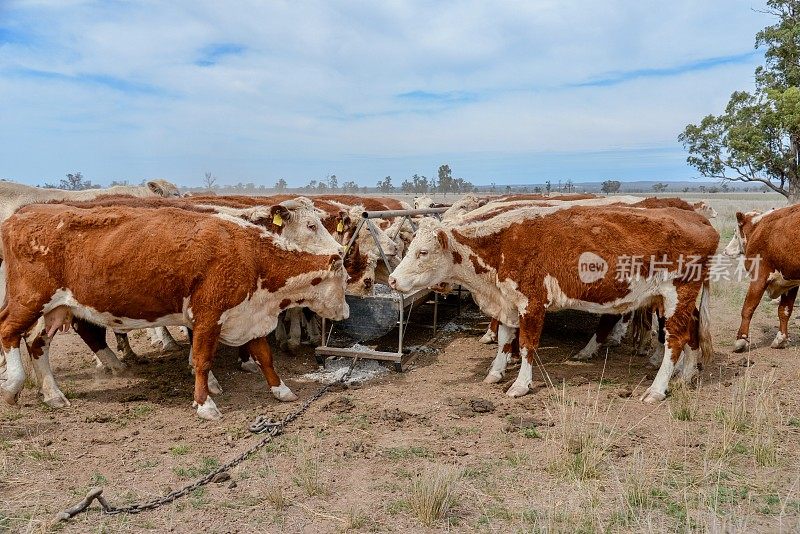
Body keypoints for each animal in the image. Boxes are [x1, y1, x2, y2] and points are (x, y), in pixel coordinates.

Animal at [390, 204, 720, 402]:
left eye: (422, 252)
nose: (392, 280)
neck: (501, 244)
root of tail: (697, 218)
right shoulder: (508, 303)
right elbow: (504, 339)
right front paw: (495, 372)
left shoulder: (531, 303)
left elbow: (526, 345)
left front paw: (520, 384)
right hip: (679, 300)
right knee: (690, 334)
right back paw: (686, 376)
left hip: (678, 293)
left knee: (674, 340)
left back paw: (657, 389)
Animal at [724, 207, 800, 354]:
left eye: (736, 232)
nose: (726, 250)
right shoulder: (789, 282)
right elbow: (784, 310)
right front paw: (780, 339)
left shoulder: (759, 277)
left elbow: (748, 308)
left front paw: (741, 340)